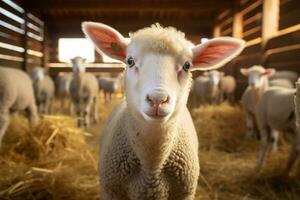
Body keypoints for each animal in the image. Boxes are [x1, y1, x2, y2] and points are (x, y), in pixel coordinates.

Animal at [81, 21, 244, 198]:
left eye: (187, 66)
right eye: (130, 61)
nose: (157, 99)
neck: (151, 166)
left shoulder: (185, 192)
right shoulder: (110, 190)